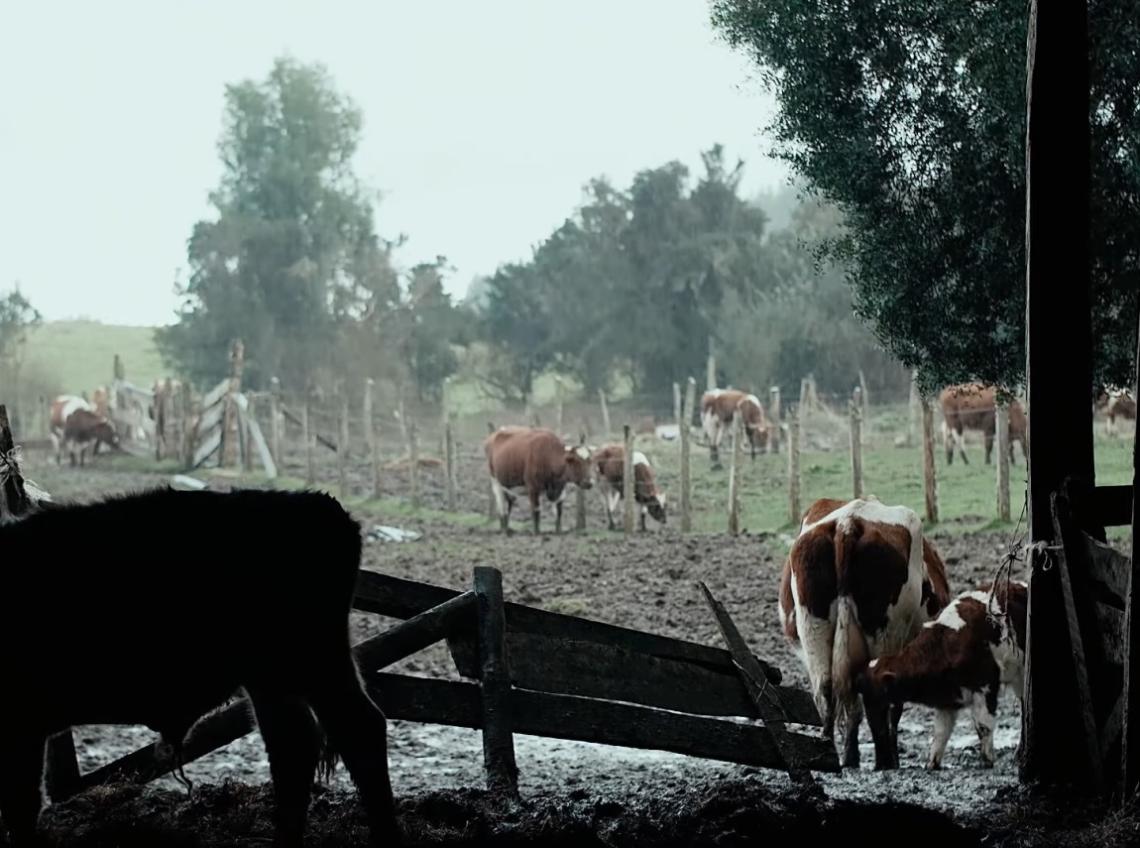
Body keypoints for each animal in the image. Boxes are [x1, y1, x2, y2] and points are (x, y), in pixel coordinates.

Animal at [0, 487, 401, 848]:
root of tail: (320, 505)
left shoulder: (23, 726)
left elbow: (21, 804)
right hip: (272, 679)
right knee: (294, 744)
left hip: (315, 665)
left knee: (356, 728)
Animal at [775, 496, 953, 770]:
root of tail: (848, 523)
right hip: (886, 636)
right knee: (875, 695)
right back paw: (885, 760)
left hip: (814, 630)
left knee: (827, 689)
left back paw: (830, 752)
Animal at [857, 583, 1035, 770]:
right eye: (864, 697)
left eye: (879, 697)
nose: (874, 724)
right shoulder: (947, 700)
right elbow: (941, 732)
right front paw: (932, 763)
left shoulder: (985, 686)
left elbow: (983, 726)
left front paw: (987, 760)